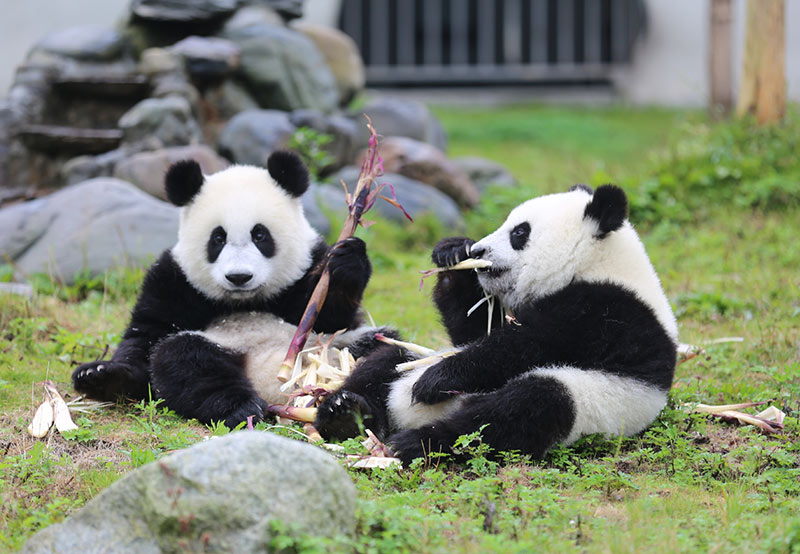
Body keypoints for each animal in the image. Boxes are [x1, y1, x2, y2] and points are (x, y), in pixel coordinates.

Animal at [71, 151, 378, 426]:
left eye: (260, 235)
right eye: (218, 238)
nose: (239, 276)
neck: (245, 301)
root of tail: (279, 391)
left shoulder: (308, 266)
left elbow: (333, 317)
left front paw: (347, 261)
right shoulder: (173, 281)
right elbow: (147, 336)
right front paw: (100, 375)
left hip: (341, 348)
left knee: (380, 356)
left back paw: (344, 409)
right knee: (184, 357)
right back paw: (244, 408)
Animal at [316, 183, 680, 464]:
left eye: (520, 232)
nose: (479, 250)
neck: (597, 263)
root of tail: (403, 415)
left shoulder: (607, 310)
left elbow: (529, 345)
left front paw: (436, 380)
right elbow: (475, 331)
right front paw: (453, 253)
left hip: (590, 399)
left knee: (521, 411)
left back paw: (415, 441)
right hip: (415, 356)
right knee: (384, 362)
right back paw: (344, 413)